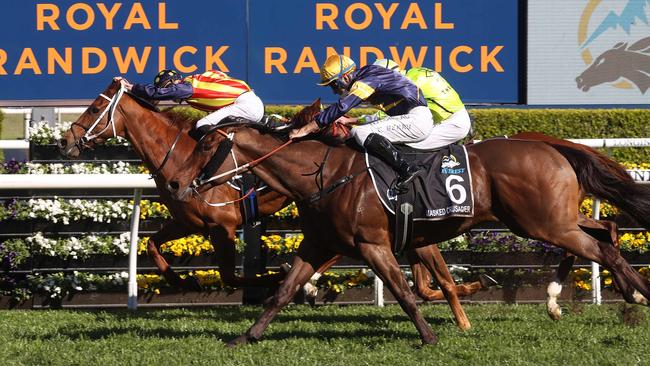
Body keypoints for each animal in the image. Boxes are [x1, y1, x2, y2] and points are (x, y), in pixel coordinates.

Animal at [57, 81, 486, 326]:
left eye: (93, 109)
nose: (65, 141)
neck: (179, 156)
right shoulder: (186, 220)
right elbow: (150, 244)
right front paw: (180, 279)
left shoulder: (222, 227)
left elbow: (232, 277)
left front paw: (273, 281)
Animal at [166, 103, 648, 346]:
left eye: (205, 144)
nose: (175, 183)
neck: (325, 173)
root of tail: (550, 145)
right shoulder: (318, 244)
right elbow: (282, 291)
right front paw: (245, 337)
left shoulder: (373, 244)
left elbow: (404, 293)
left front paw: (429, 336)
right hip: (551, 219)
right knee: (606, 234)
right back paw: (605, 296)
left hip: (543, 222)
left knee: (601, 248)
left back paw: (630, 297)